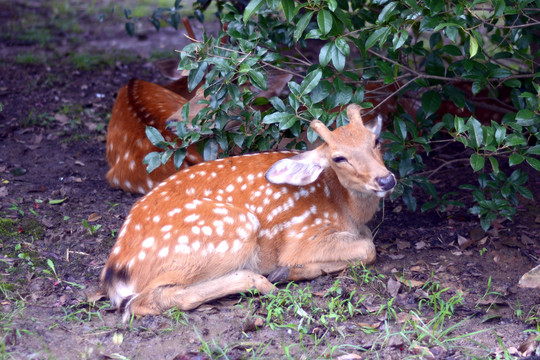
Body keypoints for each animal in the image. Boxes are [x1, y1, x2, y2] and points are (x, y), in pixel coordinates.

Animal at [101, 104, 396, 318]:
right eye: (338, 157)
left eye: (376, 140)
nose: (385, 180)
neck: (345, 208)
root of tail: (117, 269)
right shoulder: (302, 236)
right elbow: (368, 248)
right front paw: (290, 270)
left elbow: (367, 239)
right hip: (231, 229)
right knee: (145, 301)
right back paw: (260, 280)